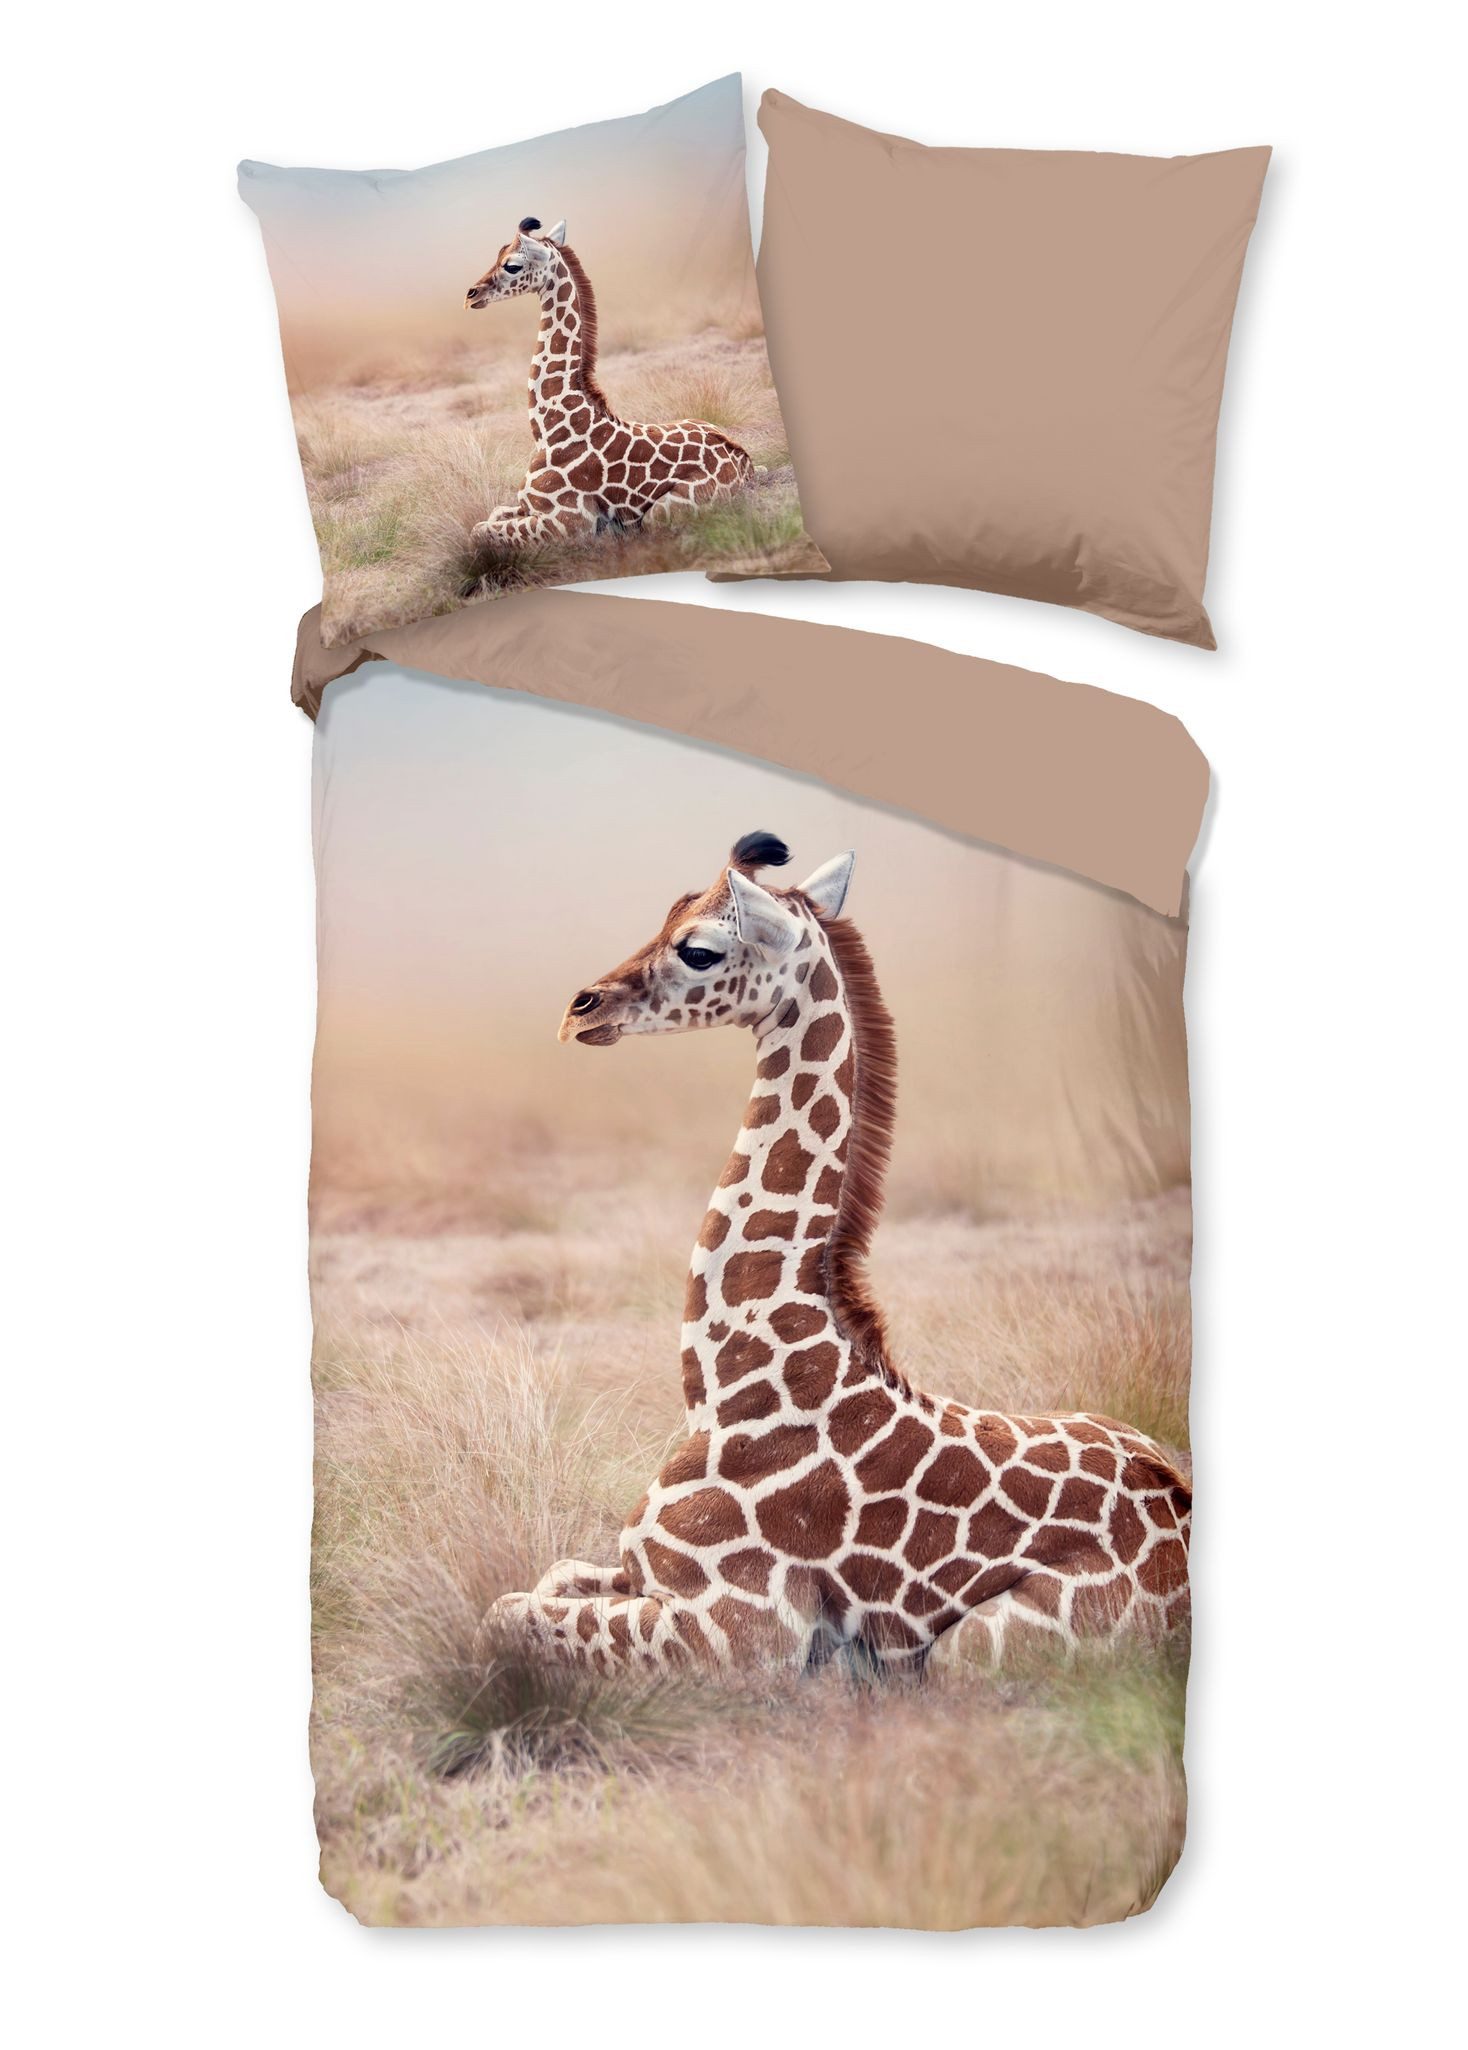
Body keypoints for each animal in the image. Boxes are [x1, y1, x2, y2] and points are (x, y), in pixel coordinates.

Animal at [463, 218, 756, 547]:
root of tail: (745, 462)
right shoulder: (526, 505)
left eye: (511, 265)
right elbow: (491, 515)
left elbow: (478, 531)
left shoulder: (567, 523)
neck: (548, 429)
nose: (471, 295)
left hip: (661, 513)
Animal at [492, 834, 1192, 1676]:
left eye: (699, 948)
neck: (728, 1384)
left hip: (971, 1651)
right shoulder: (637, 1571)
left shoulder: (738, 1630)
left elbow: (506, 1613)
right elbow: (546, 1577)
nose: (579, 1010)